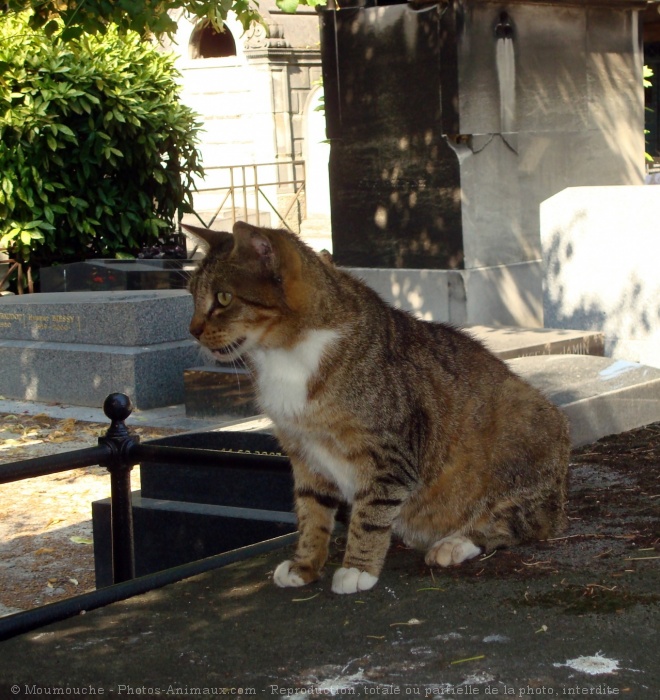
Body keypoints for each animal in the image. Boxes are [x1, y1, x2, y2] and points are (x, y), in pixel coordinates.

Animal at [184, 221, 568, 592]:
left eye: (223, 297)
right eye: (192, 295)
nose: (193, 331)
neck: (286, 355)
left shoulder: (388, 456)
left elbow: (370, 514)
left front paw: (357, 569)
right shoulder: (304, 454)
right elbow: (311, 512)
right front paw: (305, 565)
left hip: (529, 420)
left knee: (518, 526)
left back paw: (455, 542)